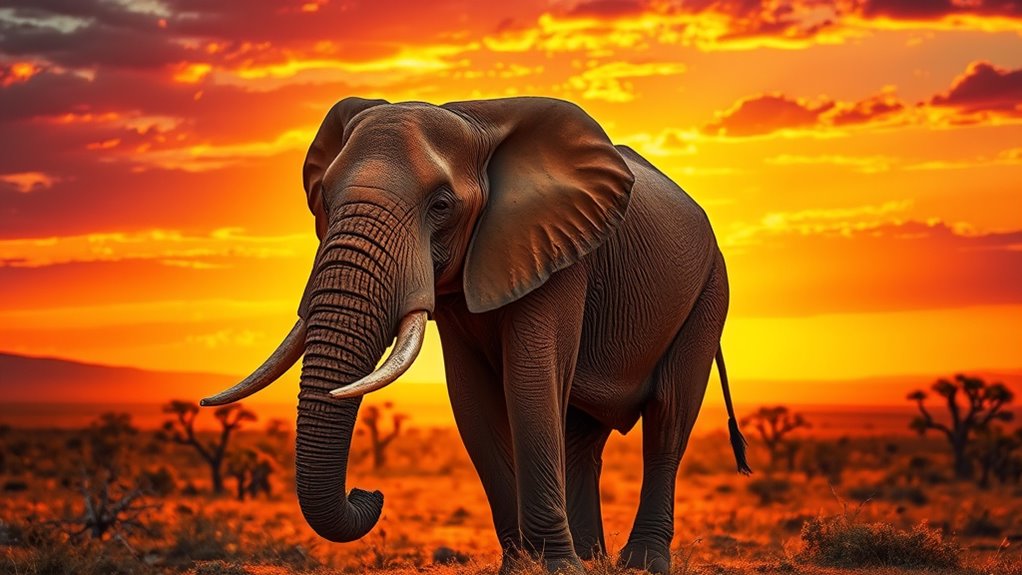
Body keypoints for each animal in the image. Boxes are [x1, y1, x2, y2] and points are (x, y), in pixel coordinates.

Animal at [200, 96, 751, 574]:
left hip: (710, 291)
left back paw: (639, 564)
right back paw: (593, 560)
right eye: (324, 200)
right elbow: (473, 401)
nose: (369, 494)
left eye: (441, 206)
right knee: (581, 436)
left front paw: (555, 569)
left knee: (668, 417)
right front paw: (524, 567)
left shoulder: (558, 250)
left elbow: (529, 383)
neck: (473, 121)